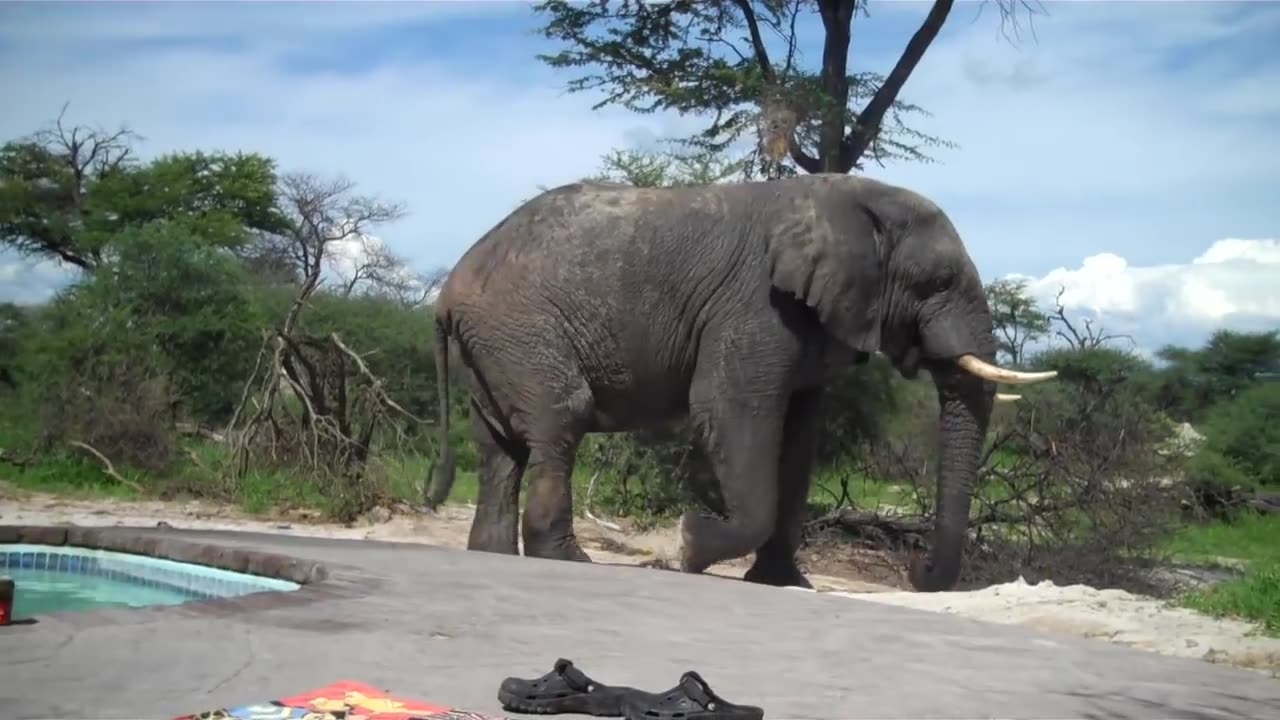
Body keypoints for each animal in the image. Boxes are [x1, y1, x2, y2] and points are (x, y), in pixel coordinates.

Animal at [424, 172, 1054, 589]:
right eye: (938, 281)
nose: (916, 569)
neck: (856, 197)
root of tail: (447, 291)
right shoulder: (756, 305)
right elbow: (731, 409)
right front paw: (687, 547)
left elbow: (799, 437)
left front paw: (783, 584)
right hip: (521, 328)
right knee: (560, 421)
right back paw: (566, 561)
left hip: (493, 345)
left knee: (498, 447)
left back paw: (493, 554)